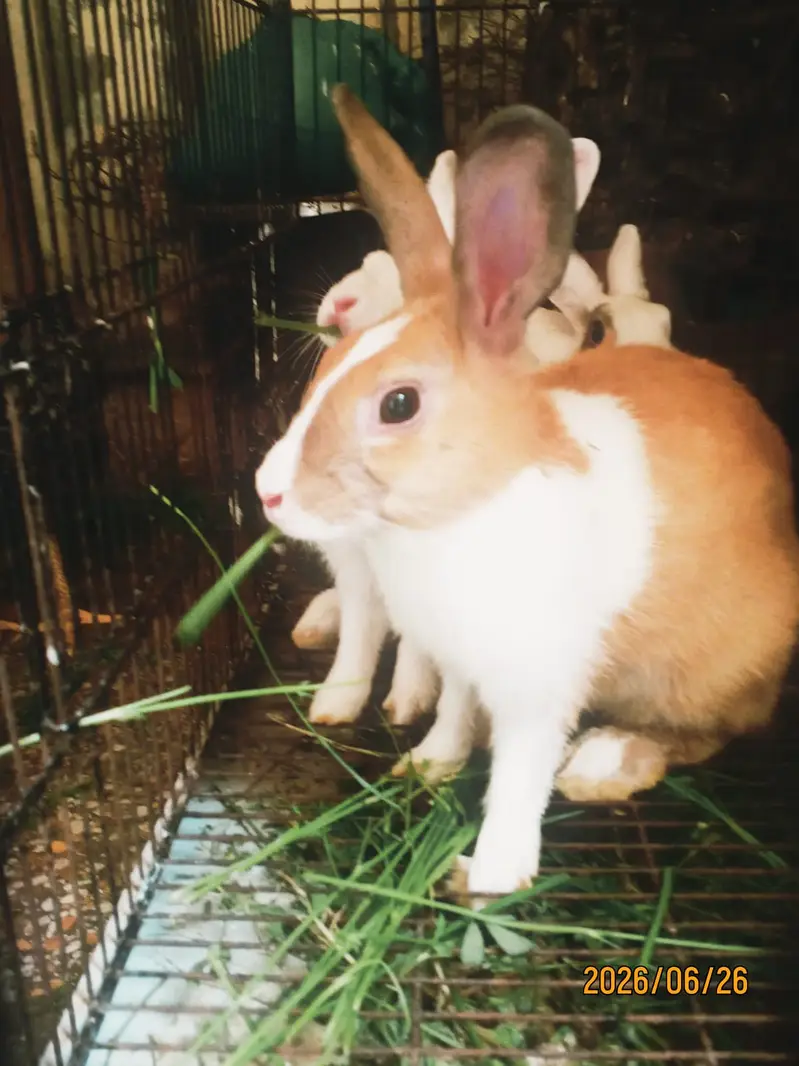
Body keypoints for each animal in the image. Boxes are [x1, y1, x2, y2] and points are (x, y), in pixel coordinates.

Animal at [255, 85, 799, 902]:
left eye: (398, 404)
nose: (268, 492)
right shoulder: (455, 659)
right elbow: (447, 705)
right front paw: (428, 762)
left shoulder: (536, 684)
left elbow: (517, 777)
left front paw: (488, 873)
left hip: (700, 673)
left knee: (707, 734)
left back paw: (603, 763)